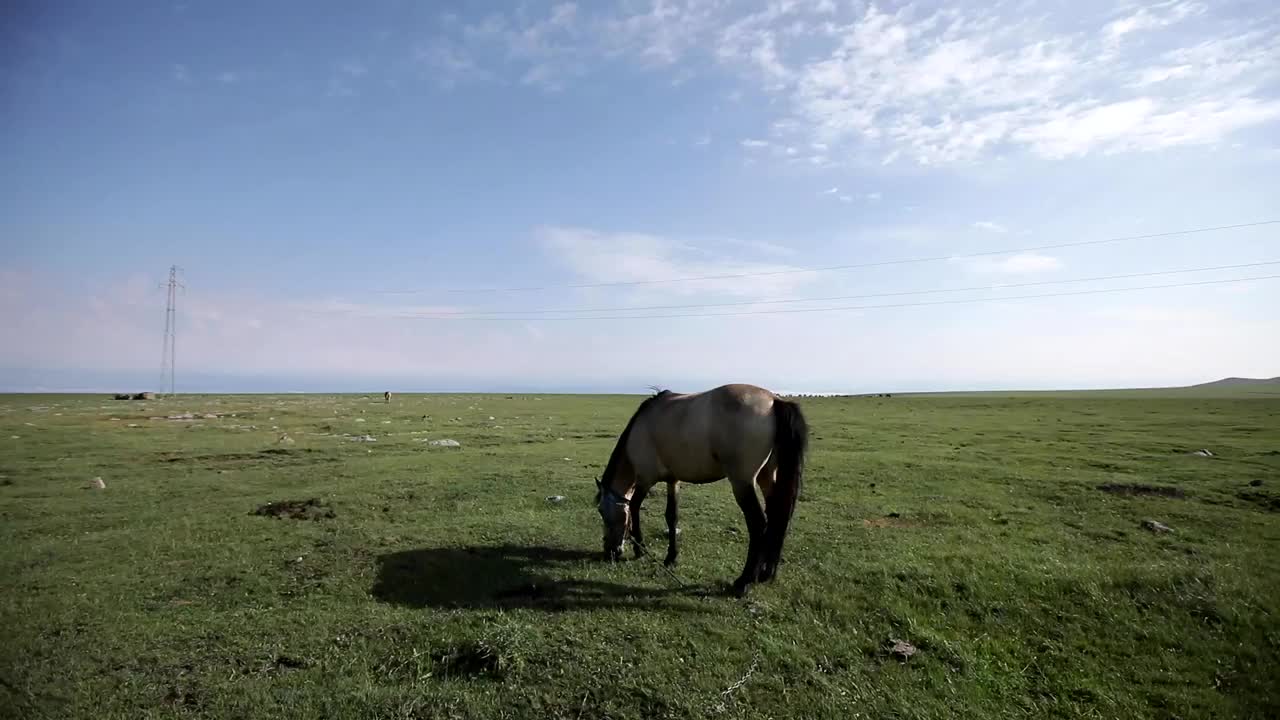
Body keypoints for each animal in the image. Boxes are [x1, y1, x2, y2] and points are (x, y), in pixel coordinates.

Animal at [591, 381, 808, 594]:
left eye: (602, 511)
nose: (609, 551)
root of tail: (774, 401)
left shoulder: (645, 479)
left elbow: (635, 508)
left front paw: (640, 549)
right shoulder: (673, 480)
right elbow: (672, 517)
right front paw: (671, 557)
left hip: (743, 483)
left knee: (758, 524)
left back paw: (744, 581)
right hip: (767, 476)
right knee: (777, 517)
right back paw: (765, 574)